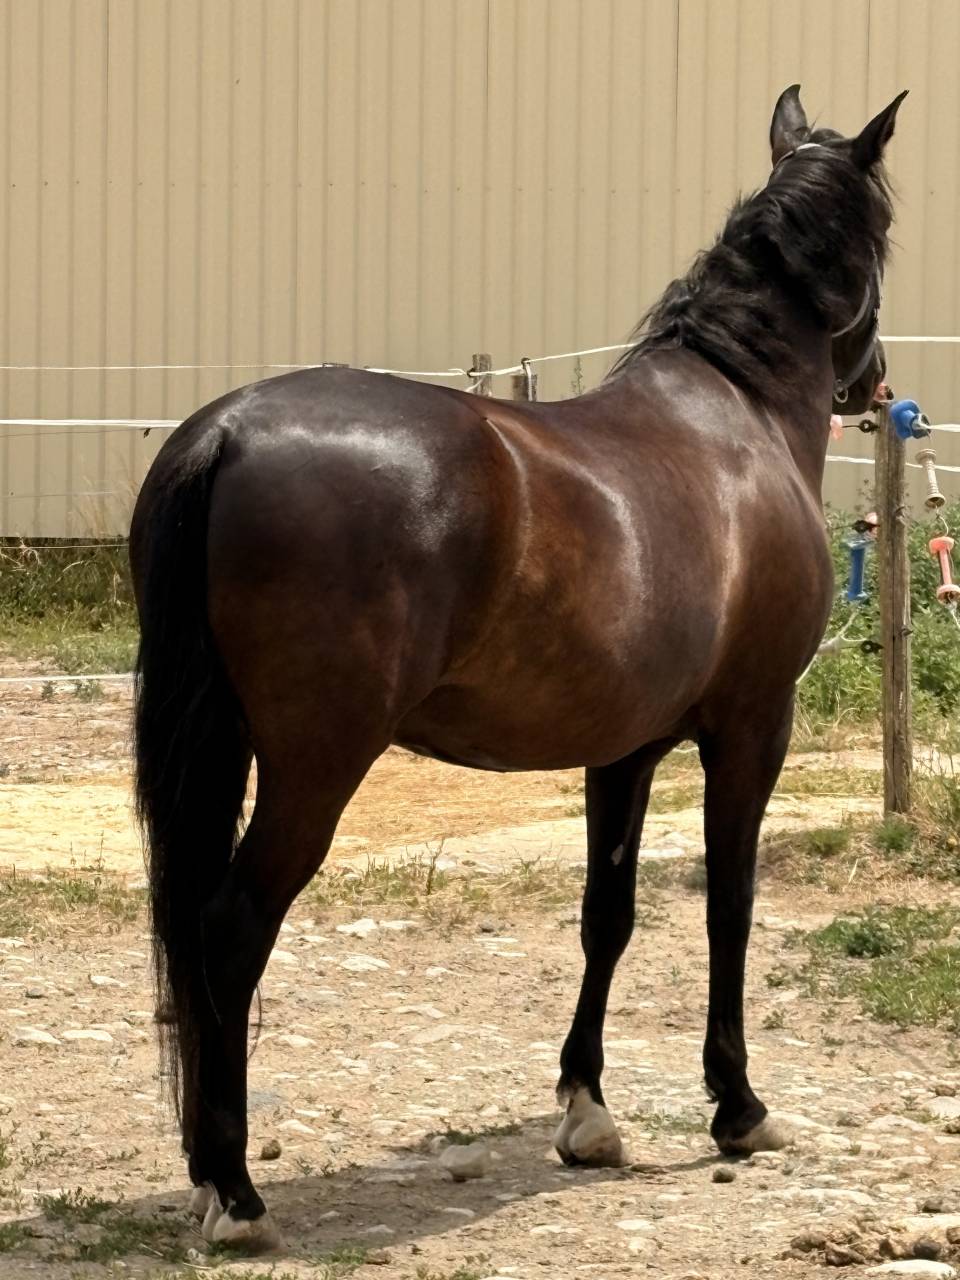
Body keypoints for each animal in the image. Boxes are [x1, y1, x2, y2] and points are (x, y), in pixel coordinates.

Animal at [130, 85, 906, 1250]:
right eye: (887, 235)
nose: (880, 381)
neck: (737, 417)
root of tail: (226, 432)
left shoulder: (624, 749)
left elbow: (609, 913)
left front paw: (588, 1112)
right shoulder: (753, 726)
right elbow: (728, 904)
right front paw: (739, 1106)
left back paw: (206, 1173)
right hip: (314, 767)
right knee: (228, 928)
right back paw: (235, 1191)